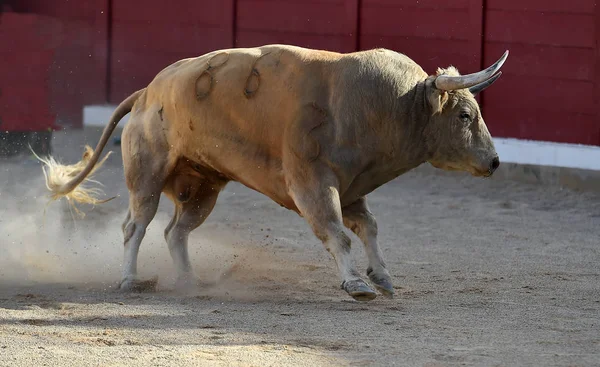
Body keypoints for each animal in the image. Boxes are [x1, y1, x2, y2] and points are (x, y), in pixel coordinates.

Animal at [36, 43, 506, 302]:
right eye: (465, 115)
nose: (494, 162)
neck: (380, 104)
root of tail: (147, 92)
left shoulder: (352, 187)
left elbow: (368, 227)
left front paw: (384, 277)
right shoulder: (312, 182)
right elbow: (337, 233)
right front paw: (357, 284)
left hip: (202, 187)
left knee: (176, 231)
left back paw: (189, 280)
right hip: (148, 175)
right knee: (136, 225)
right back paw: (130, 280)